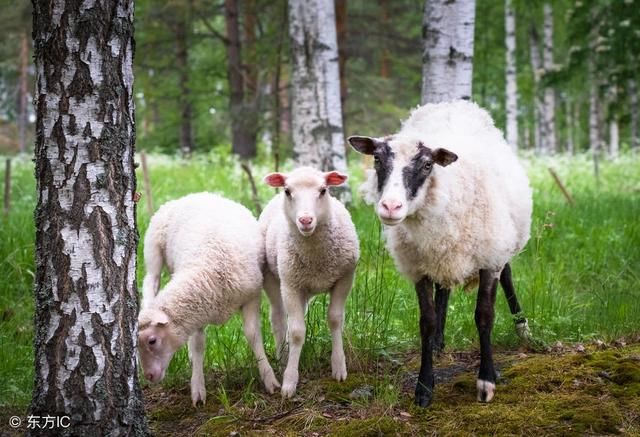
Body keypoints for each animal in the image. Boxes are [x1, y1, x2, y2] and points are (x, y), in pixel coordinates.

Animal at [138, 192, 278, 404]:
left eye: (152, 341)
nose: (149, 376)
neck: (208, 271)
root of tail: (196, 194)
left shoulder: (251, 296)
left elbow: (253, 335)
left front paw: (269, 377)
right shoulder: (198, 309)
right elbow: (198, 345)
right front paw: (197, 388)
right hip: (153, 248)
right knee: (151, 280)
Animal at [260, 165, 360, 396]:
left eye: (323, 190)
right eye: (288, 191)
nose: (305, 221)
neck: (316, 258)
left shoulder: (345, 278)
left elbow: (335, 319)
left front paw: (339, 367)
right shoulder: (290, 285)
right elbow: (298, 332)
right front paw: (289, 381)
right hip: (273, 277)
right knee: (279, 318)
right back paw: (282, 358)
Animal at [348, 100, 532, 408]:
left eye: (427, 165)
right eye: (377, 160)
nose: (390, 207)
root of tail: (452, 103)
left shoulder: (489, 259)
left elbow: (484, 316)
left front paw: (486, 381)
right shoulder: (418, 268)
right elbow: (427, 321)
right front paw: (424, 387)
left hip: (501, 241)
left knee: (507, 275)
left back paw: (523, 328)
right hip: (441, 254)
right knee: (443, 288)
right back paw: (438, 343)